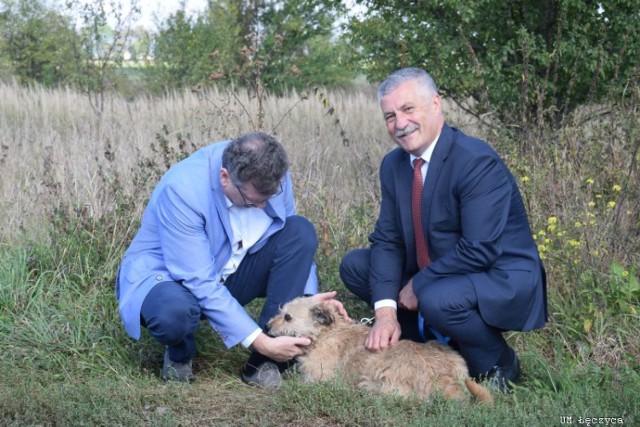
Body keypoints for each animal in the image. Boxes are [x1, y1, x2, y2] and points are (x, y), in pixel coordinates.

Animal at [268, 298, 492, 404]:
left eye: (287, 317)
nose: (267, 327)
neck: (325, 333)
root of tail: (445, 378)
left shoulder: (318, 380)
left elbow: (296, 383)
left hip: (379, 370)